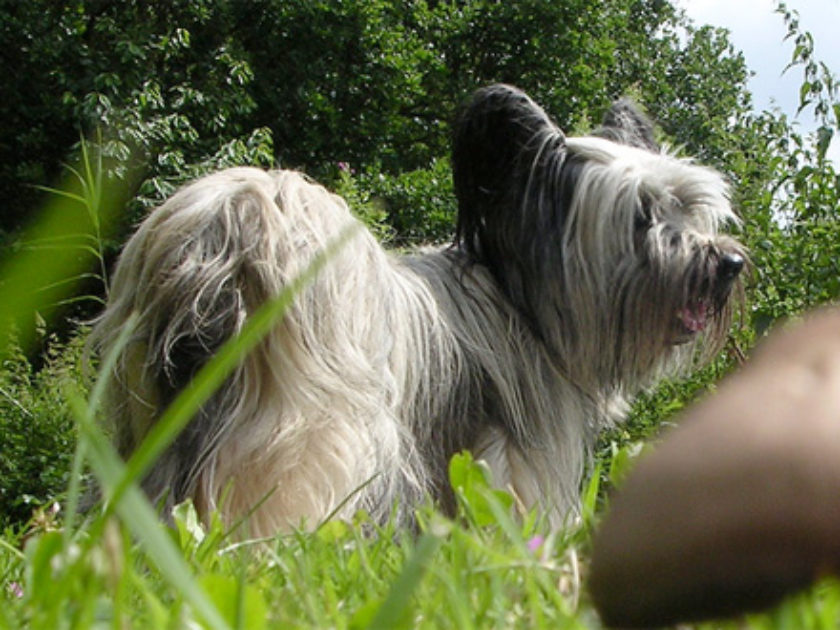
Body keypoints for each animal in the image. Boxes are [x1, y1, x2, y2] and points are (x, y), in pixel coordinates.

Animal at [93, 85, 748, 540]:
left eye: (691, 210)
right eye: (642, 217)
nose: (731, 263)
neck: (522, 296)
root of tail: (224, 234)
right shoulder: (510, 459)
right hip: (308, 428)